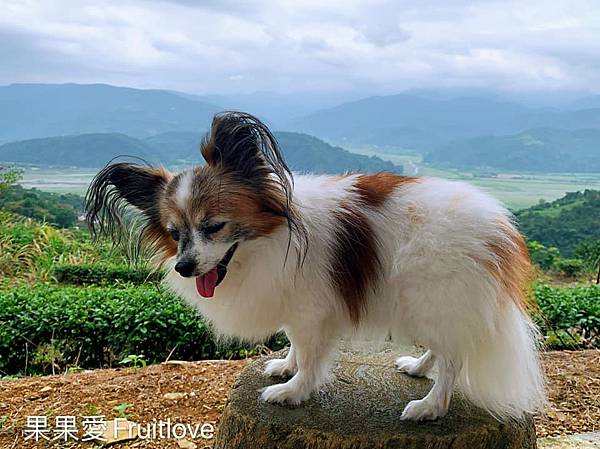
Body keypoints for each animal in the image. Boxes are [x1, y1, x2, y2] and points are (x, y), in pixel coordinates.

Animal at [86, 111, 548, 420]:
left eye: (214, 227)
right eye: (174, 233)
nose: (184, 266)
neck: (271, 238)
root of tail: (501, 226)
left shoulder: (313, 310)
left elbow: (311, 356)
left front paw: (294, 391)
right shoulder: (293, 304)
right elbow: (294, 343)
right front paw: (285, 367)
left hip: (434, 295)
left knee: (454, 359)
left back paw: (430, 406)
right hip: (426, 304)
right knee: (443, 346)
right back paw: (418, 367)